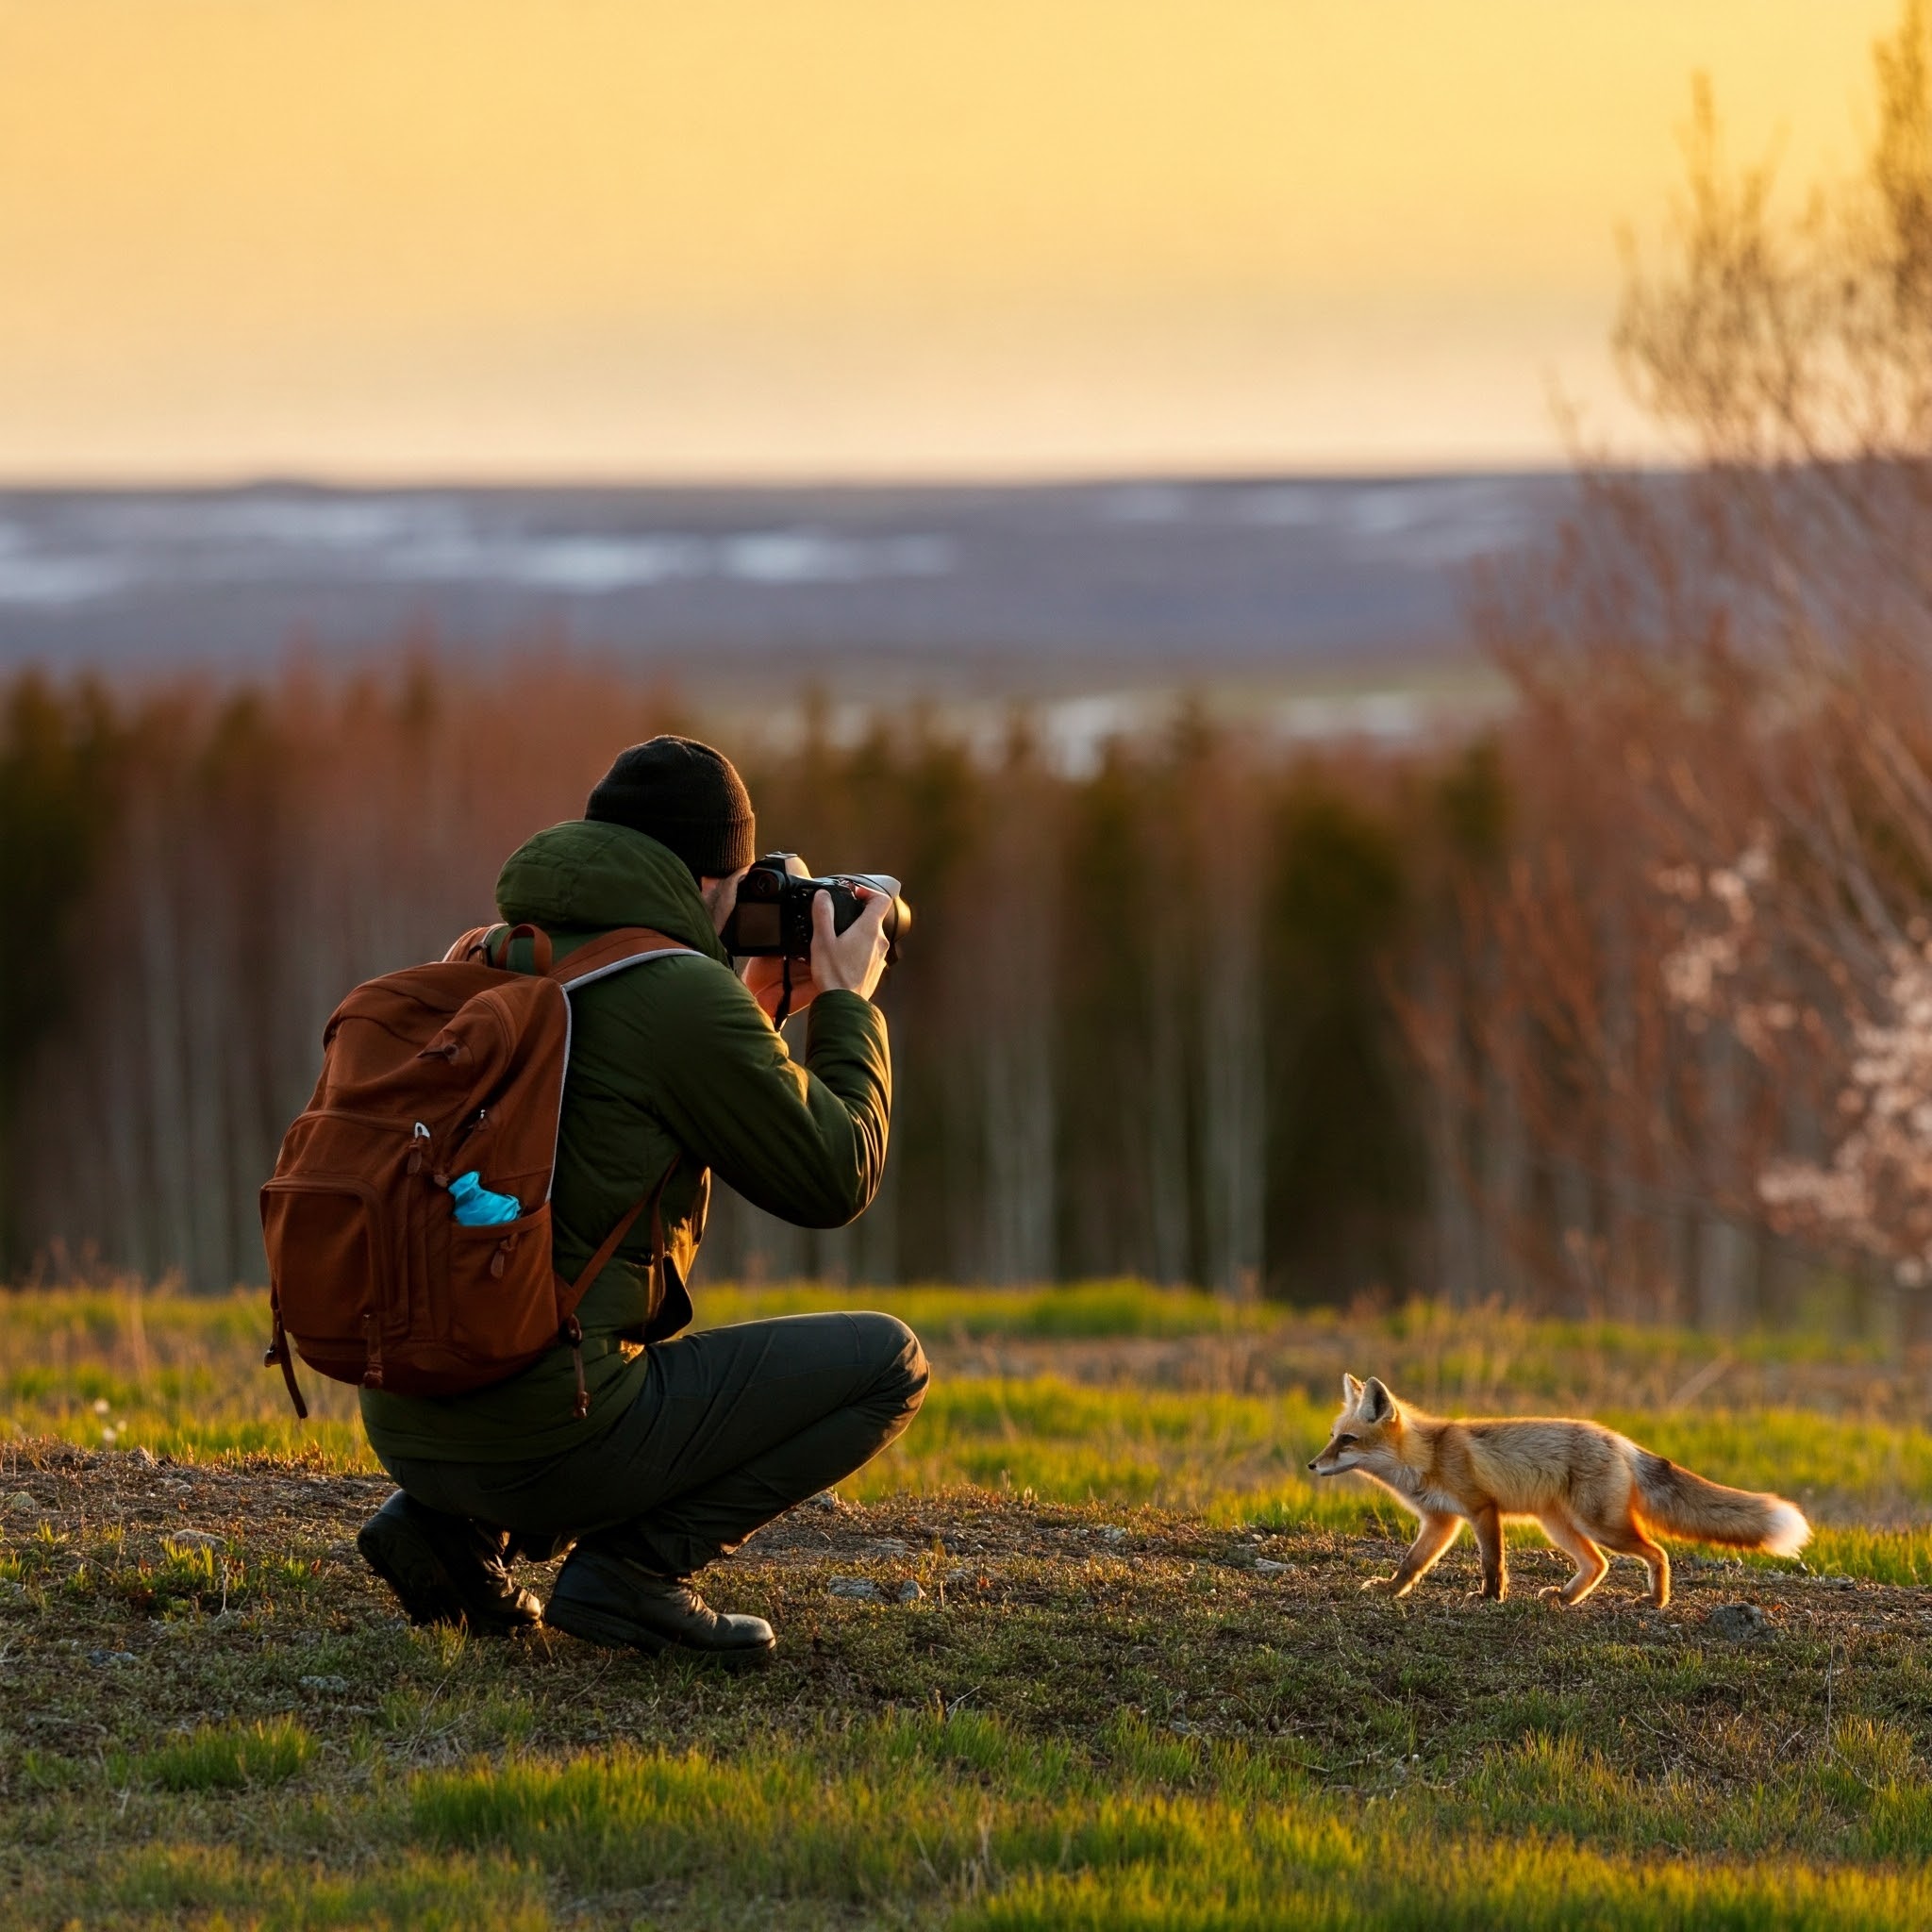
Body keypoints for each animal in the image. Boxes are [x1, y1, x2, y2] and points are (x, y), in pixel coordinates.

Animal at [1313, 1375, 1807, 1615]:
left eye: (1348, 1441)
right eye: (1333, 1436)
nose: (1312, 1466)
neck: (1427, 1457)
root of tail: (1619, 1439)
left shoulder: (1481, 1509)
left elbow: (1493, 1563)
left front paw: (1490, 1598)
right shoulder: (1441, 1521)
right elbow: (1411, 1563)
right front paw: (1391, 1590)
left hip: (1601, 1525)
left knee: (1658, 1552)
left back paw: (1655, 1601)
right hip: (1559, 1525)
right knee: (1598, 1565)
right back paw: (1567, 1598)